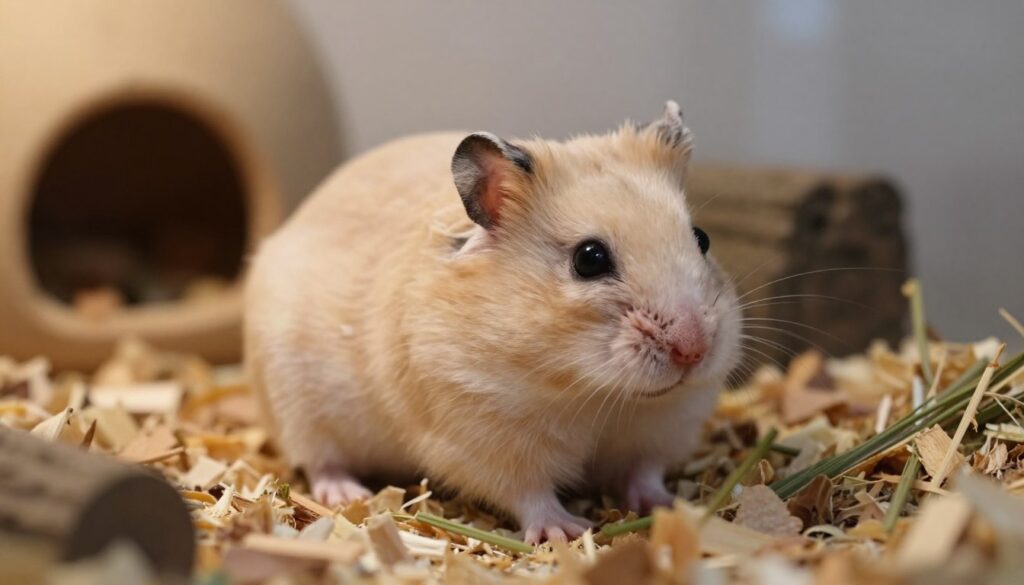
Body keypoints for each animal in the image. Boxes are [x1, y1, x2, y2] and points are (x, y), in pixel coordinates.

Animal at [245, 101, 740, 543]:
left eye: (701, 239)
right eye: (589, 259)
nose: (694, 349)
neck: (595, 394)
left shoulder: (663, 425)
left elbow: (645, 473)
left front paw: (670, 505)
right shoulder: (486, 437)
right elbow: (530, 494)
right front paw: (566, 532)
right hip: (299, 409)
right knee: (319, 461)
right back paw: (346, 493)